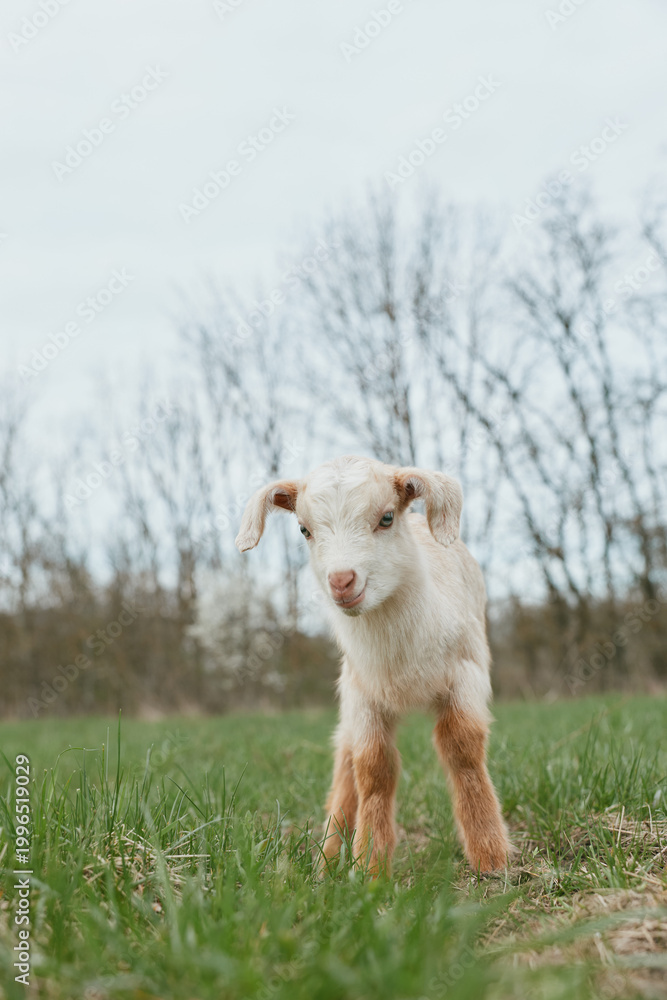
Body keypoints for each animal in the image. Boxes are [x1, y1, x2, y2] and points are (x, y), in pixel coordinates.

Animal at [236, 455, 510, 875]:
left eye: (386, 518)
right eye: (304, 529)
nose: (341, 581)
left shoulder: (467, 674)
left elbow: (462, 748)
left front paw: (490, 855)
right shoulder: (362, 693)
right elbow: (372, 767)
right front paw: (369, 864)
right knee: (346, 755)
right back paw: (329, 854)